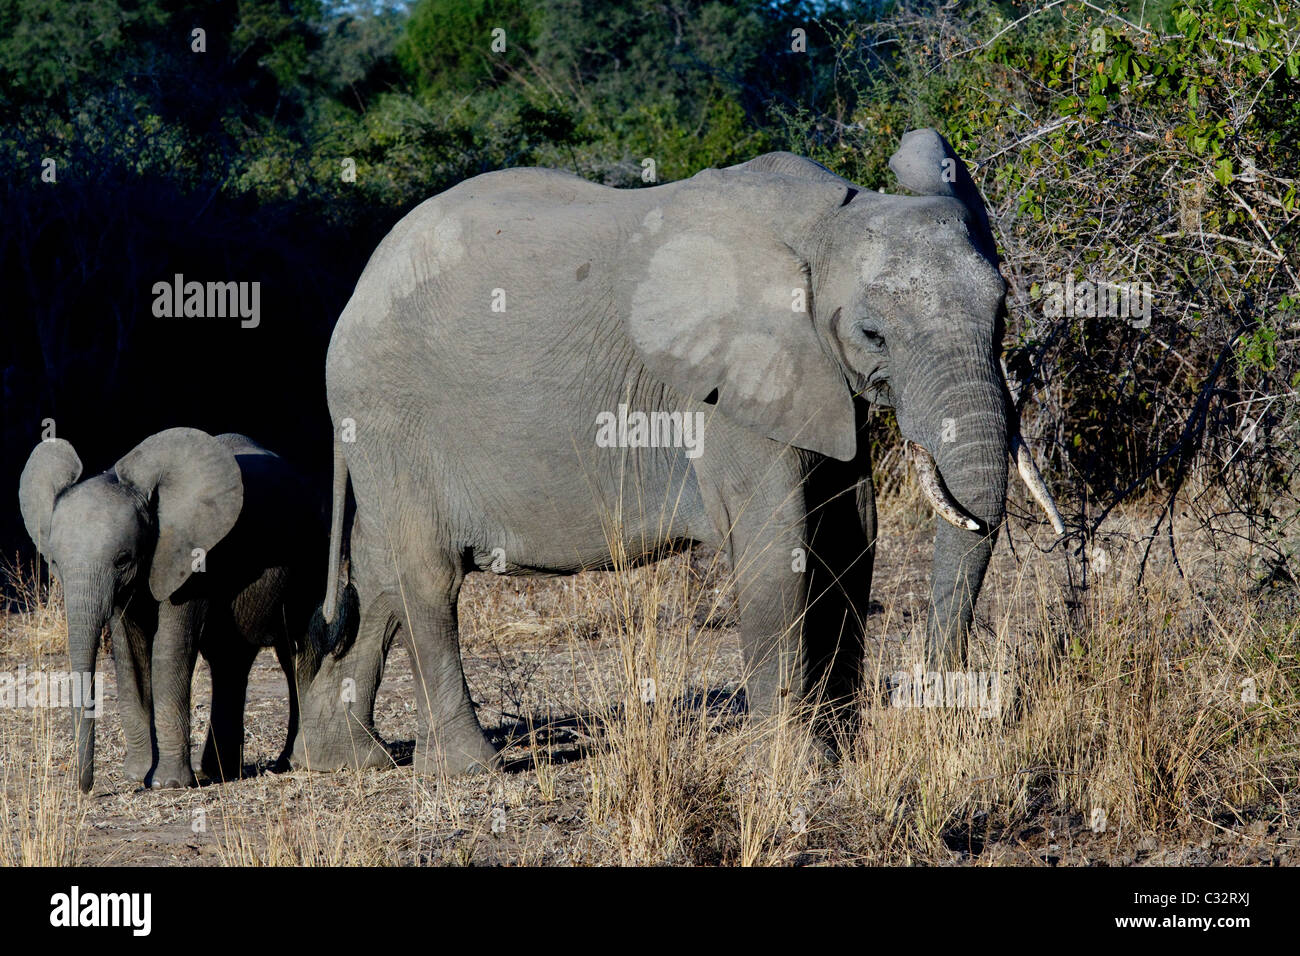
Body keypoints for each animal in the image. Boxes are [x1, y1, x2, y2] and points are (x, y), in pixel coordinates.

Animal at [18, 429, 325, 790]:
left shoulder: (190, 553)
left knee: (297, 651)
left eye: (123, 560)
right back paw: (218, 771)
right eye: (54, 562)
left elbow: (169, 646)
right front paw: (138, 775)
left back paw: (290, 762)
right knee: (230, 657)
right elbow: (130, 651)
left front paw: (167, 784)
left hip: (314, 551)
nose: (85, 788)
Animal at [297, 127, 1066, 780]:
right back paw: (466, 771)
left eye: (1003, 312)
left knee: (379, 570)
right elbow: (777, 545)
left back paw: (342, 764)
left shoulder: (815, 378)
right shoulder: (727, 387)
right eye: (873, 334)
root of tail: (357, 290)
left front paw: (842, 749)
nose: (933, 700)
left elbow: (852, 536)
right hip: (391, 408)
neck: (824, 224)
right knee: (427, 576)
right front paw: (793, 769)